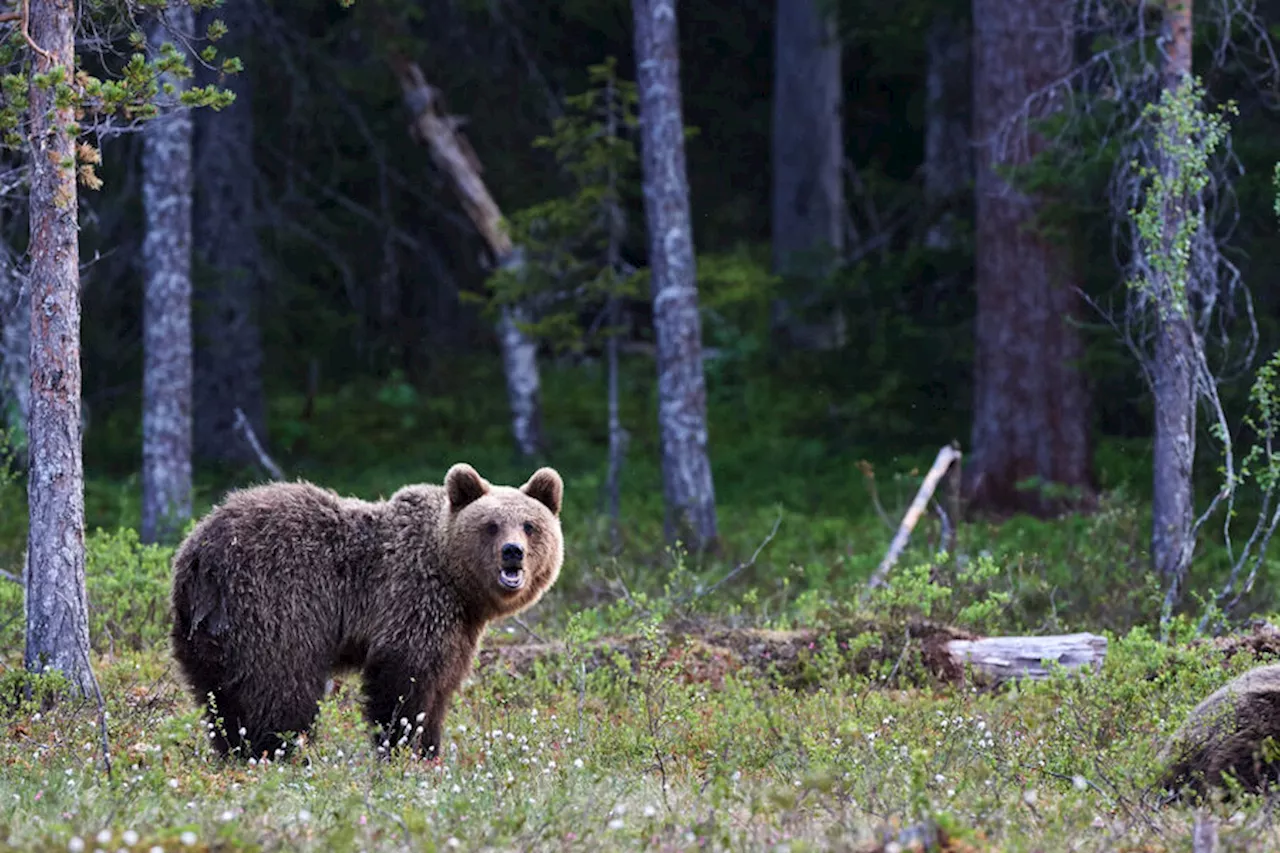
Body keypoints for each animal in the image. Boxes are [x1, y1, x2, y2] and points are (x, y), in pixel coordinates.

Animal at [167, 461, 563, 758]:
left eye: (530, 525)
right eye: (491, 525)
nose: (512, 551)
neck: (458, 585)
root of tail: (197, 554)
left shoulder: (458, 628)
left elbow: (441, 685)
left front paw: (429, 748)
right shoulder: (412, 598)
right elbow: (405, 682)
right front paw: (405, 748)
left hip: (206, 635)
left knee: (220, 697)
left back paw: (235, 749)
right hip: (274, 606)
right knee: (280, 687)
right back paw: (279, 752)